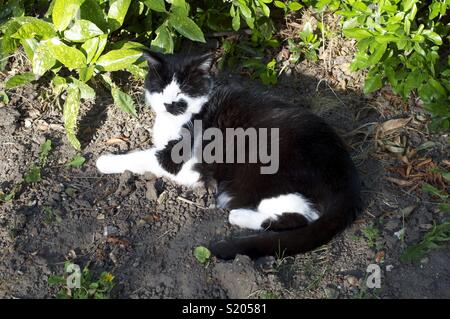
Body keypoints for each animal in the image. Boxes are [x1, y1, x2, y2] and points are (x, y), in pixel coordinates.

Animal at [96, 50, 362, 260]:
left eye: (183, 91)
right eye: (161, 88)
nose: (170, 104)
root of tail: (347, 174)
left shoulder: (179, 161)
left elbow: (142, 157)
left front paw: (105, 161)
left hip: (261, 173)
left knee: (300, 216)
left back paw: (239, 216)